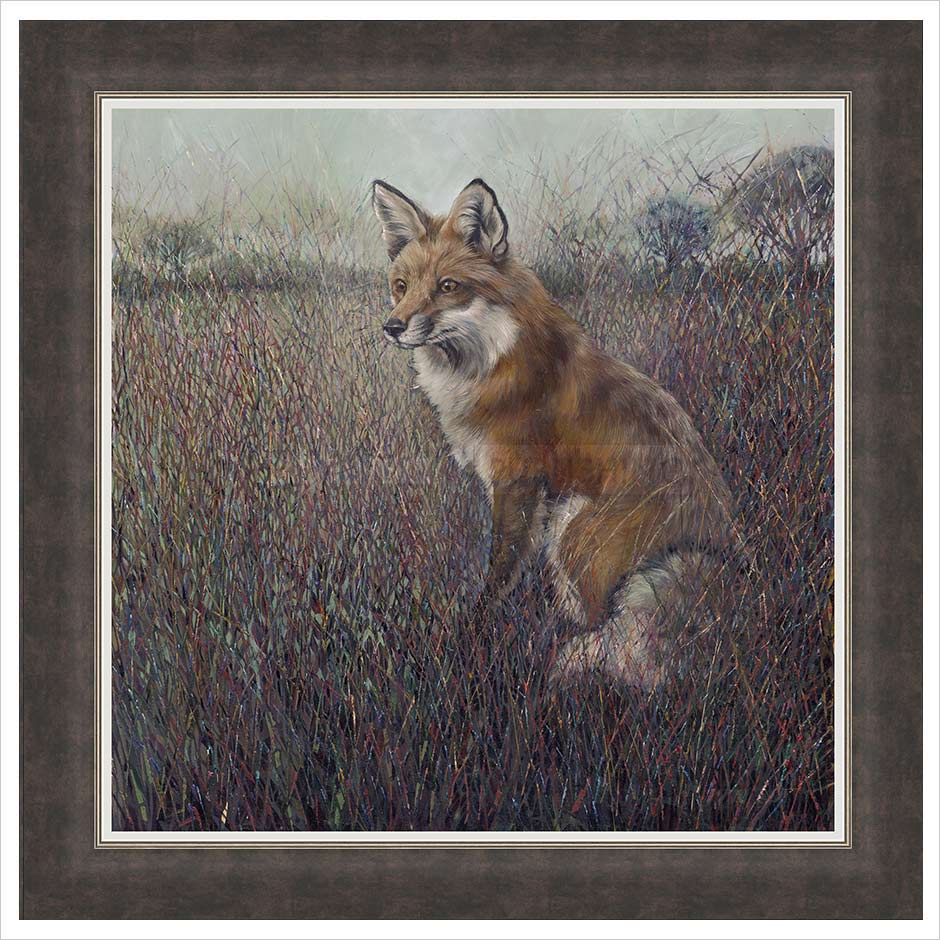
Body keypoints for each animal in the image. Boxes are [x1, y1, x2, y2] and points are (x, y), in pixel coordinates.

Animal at [372, 178, 735, 690]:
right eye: (401, 286)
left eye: (448, 287)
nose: (393, 327)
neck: (493, 358)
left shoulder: (517, 480)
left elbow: (499, 572)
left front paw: (473, 634)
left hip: (574, 528)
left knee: (605, 636)